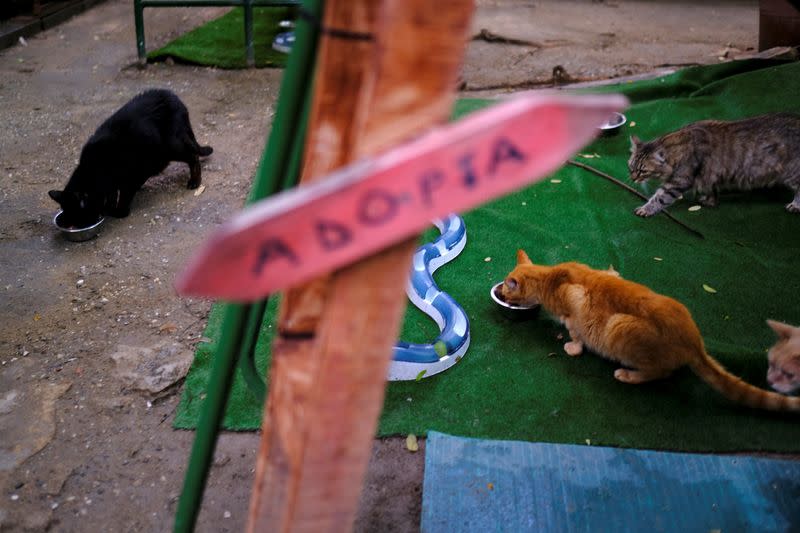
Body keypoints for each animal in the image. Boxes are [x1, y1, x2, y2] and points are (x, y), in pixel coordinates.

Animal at [48, 88, 212, 225]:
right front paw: (109, 206)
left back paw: (194, 182)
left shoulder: (129, 176)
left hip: (171, 147)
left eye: (80, 217)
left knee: (193, 157)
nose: (81, 225)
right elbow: (112, 194)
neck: (94, 170)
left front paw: (119, 211)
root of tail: (176, 99)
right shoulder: (116, 181)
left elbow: (124, 195)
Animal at [496, 249, 800, 412]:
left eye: (506, 289)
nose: (498, 291)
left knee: (659, 372)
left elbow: (575, 331)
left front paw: (572, 347)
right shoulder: (607, 272)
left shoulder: (574, 302)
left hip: (619, 327)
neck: (552, 276)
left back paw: (627, 375)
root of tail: (695, 342)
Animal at [624, 113, 800, 217]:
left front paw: (646, 209)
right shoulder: (710, 175)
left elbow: (659, 197)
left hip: (792, 174)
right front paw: (710, 201)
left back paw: (795, 205)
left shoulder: (678, 182)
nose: (633, 178)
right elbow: (712, 189)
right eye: (631, 168)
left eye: (642, 171)